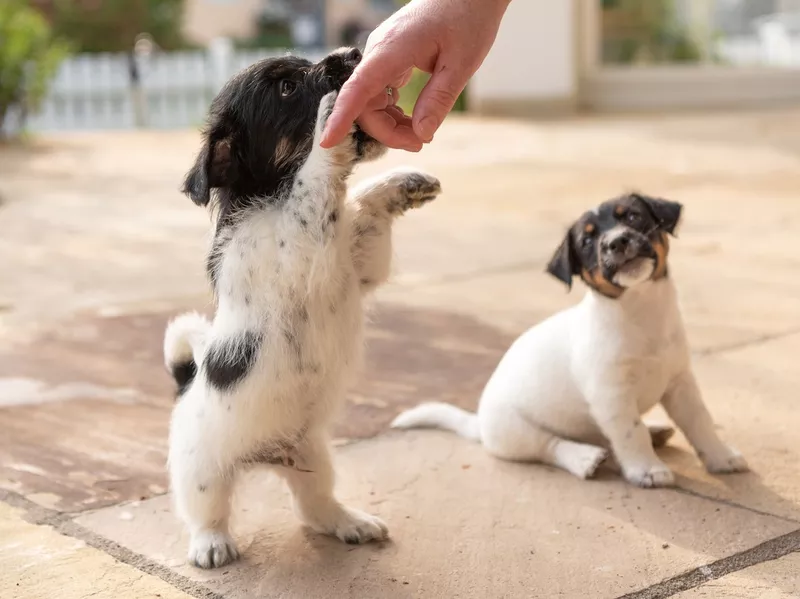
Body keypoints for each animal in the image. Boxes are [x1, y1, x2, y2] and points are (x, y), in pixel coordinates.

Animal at [160, 49, 440, 568]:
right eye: (287, 87)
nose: (353, 54)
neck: (271, 197)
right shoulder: (294, 247)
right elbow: (315, 179)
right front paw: (331, 120)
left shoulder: (359, 263)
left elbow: (363, 208)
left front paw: (401, 184)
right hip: (201, 469)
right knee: (206, 511)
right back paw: (211, 544)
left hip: (314, 459)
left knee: (314, 507)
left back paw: (349, 522)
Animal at [390, 195, 748, 490]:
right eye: (588, 240)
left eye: (633, 217)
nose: (617, 242)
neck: (640, 311)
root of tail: (478, 423)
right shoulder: (611, 396)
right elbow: (631, 432)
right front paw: (647, 470)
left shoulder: (680, 383)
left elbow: (700, 423)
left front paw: (721, 457)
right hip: (516, 430)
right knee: (550, 447)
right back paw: (585, 458)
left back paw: (656, 430)